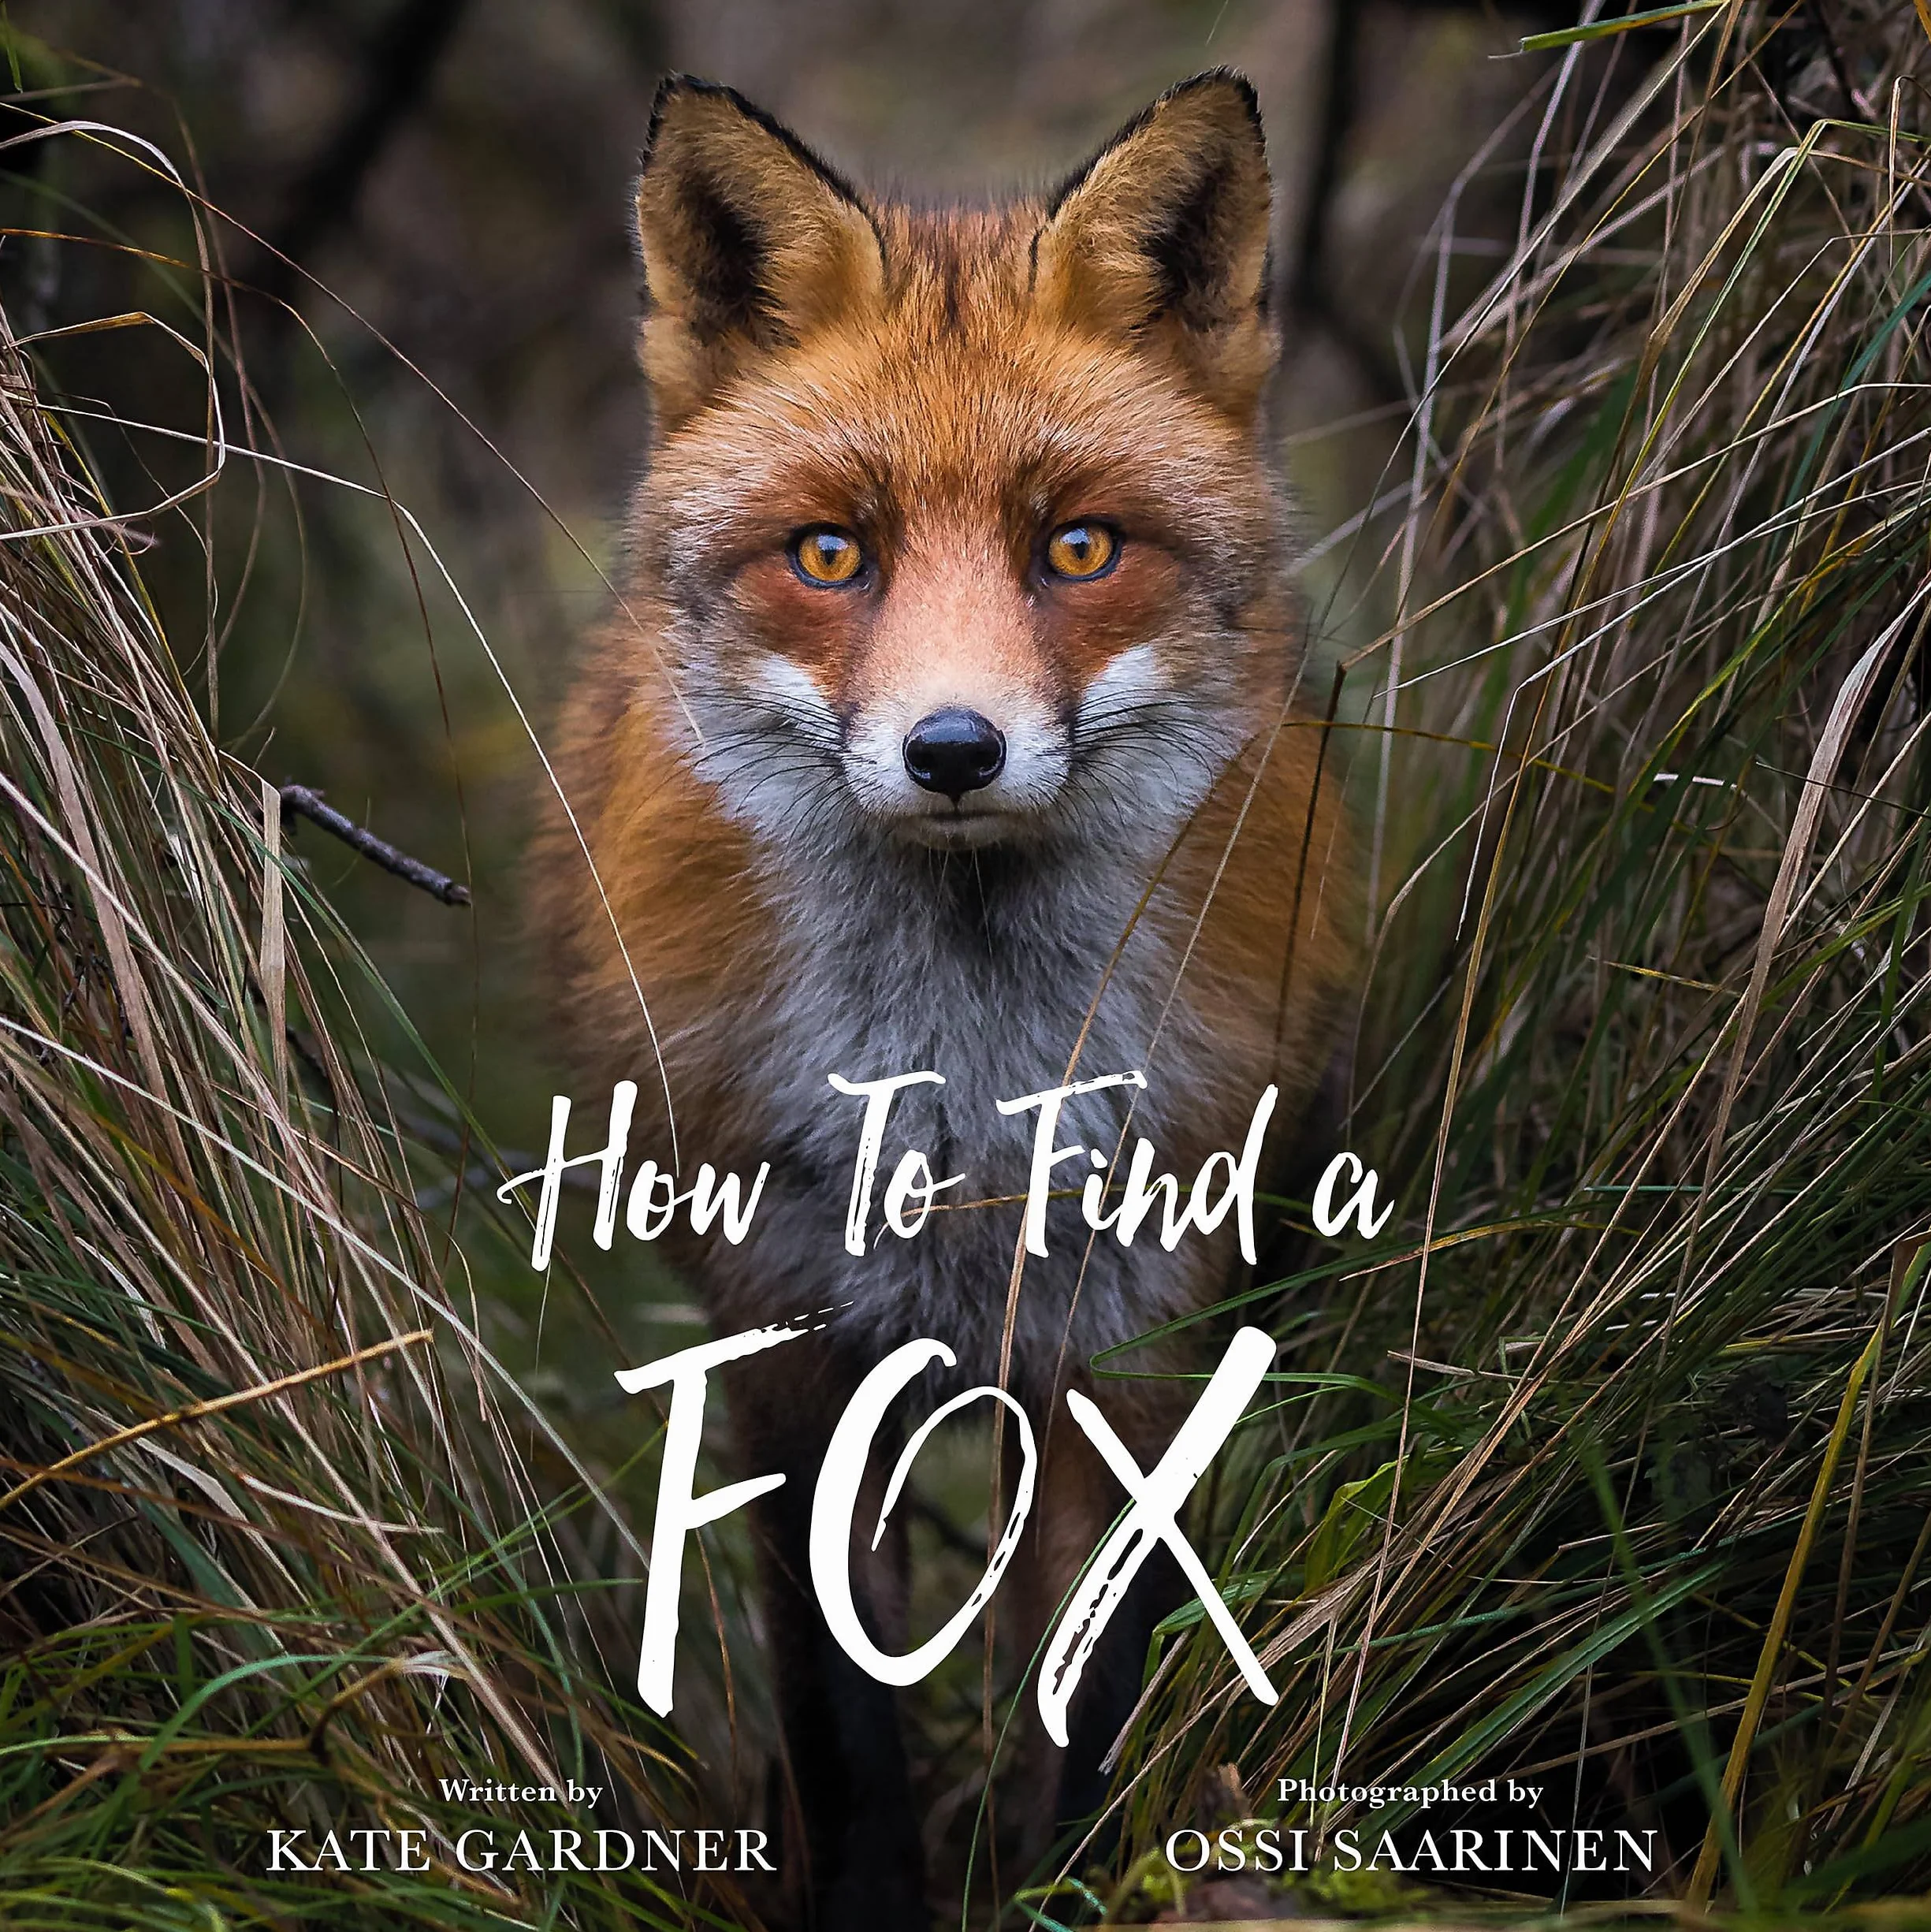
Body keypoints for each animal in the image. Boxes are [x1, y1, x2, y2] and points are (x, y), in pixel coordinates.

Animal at [534, 69, 1355, 1929]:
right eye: (833, 553)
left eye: (1079, 547)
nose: (955, 751)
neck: (969, 1096)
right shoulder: (794, 1337)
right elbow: (846, 1724)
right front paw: (874, 1899)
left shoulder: (1135, 1336)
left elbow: (1092, 1693)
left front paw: (1068, 1883)